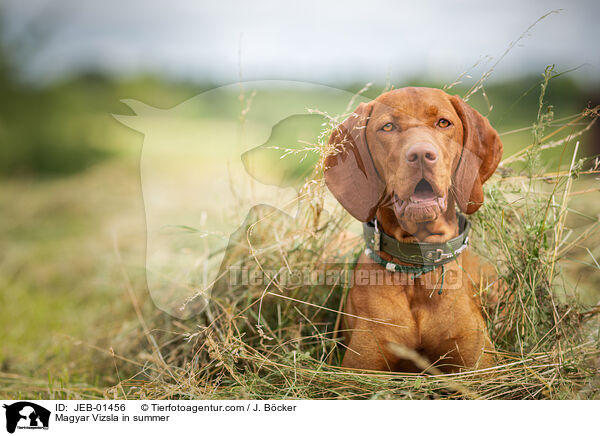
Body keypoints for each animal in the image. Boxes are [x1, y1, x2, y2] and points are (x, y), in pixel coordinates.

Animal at [324, 87, 502, 372]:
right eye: (388, 126)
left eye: (443, 123)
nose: (420, 155)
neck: (416, 273)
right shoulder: (360, 368)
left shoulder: (479, 366)